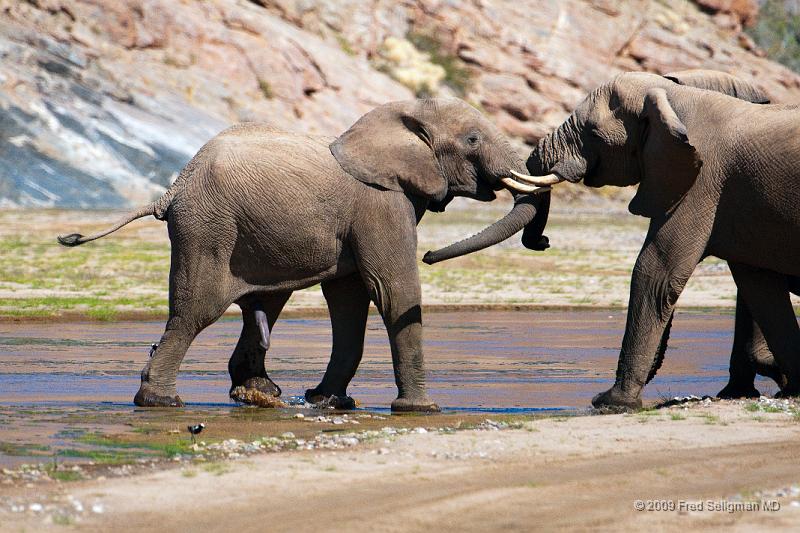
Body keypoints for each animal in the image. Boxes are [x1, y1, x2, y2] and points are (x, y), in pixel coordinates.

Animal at [56, 96, 552, 412]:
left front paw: (329, 402)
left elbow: (350, 298)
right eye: (472, 140)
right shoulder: (380, 203)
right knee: (195, 312)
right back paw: (160, 401)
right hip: (207, 229)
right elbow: (391, 289)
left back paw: (260, 395)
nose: (541, 243)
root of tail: (172, 188)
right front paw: (420, 409)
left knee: (263, 305)